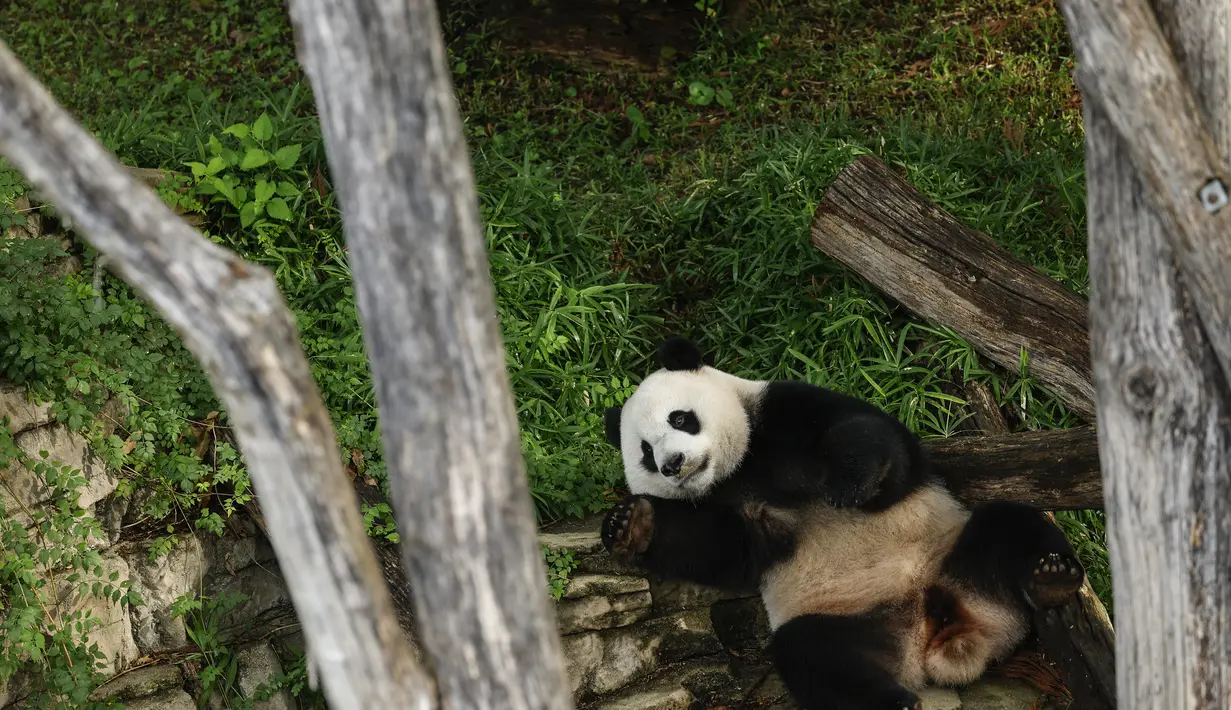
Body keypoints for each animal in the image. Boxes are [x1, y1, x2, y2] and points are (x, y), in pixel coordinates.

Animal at [599, 335, 1086, 710]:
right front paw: (629, 523)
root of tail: (937, 637)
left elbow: (879, 446)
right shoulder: (727, 510)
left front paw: (849, 483)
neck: (736, 471)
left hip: (954, 554)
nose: (673, 464)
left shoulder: (779, 410)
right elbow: (720, 550)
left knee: (1008, 525)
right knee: (815, 658)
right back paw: (893, 702)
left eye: (680, 418)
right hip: (848, 616)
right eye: (645, 452)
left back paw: (1052, 578)